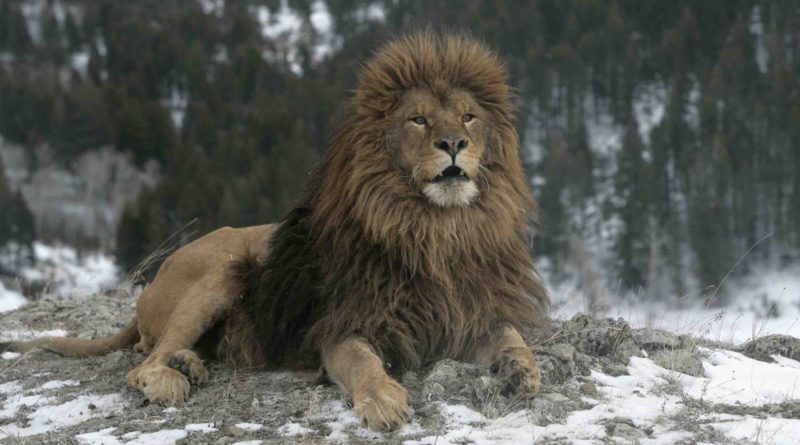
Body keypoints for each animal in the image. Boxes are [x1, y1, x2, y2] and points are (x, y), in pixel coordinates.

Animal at [1, 32, 549, 432]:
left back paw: (190, 364)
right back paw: (171, 378)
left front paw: (523, 370)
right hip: (222, 271)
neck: (437, 229)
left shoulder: (465, 313)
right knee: (142, 363)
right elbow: (363, 365)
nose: (453, 143)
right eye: (417, 120)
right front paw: (384, 401)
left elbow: (511, 336)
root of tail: (147, 293)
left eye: (468, 117)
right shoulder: (339, 327)